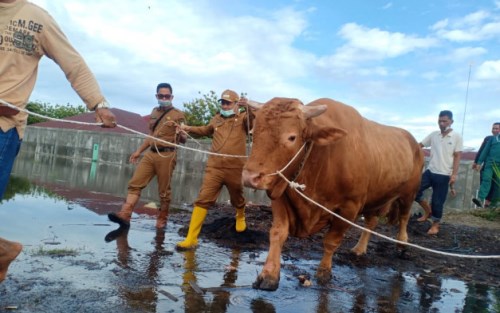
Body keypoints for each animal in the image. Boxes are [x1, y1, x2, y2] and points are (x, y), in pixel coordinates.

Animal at [242, 97, 422, 290]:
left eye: (291, 137)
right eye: (253, 132)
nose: (250, 177)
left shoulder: (349, 207)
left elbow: (331, 241)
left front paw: (324, 271)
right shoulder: (281, 194)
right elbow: (278, 233)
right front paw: (269, 275)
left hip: (409, 193)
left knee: (404, 217)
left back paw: (402, 243)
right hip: (376, 196)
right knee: (371, 221)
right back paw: (359, 249)